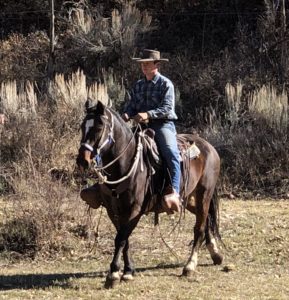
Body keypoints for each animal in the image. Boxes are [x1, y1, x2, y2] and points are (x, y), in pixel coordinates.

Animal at [75, 101, 222, 288]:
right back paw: (215, 254)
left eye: (99, 127)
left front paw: (113, 274)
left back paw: (190, 266)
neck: (126, 163)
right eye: (82, 126)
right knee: (206, 220)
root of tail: (209, 147)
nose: (82, 160)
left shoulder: (135, 209)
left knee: (200, 227)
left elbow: (120, 238)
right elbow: (125, 239)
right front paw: (128, 271)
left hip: (204, 193)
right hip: (189, 198)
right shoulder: (112, 210)